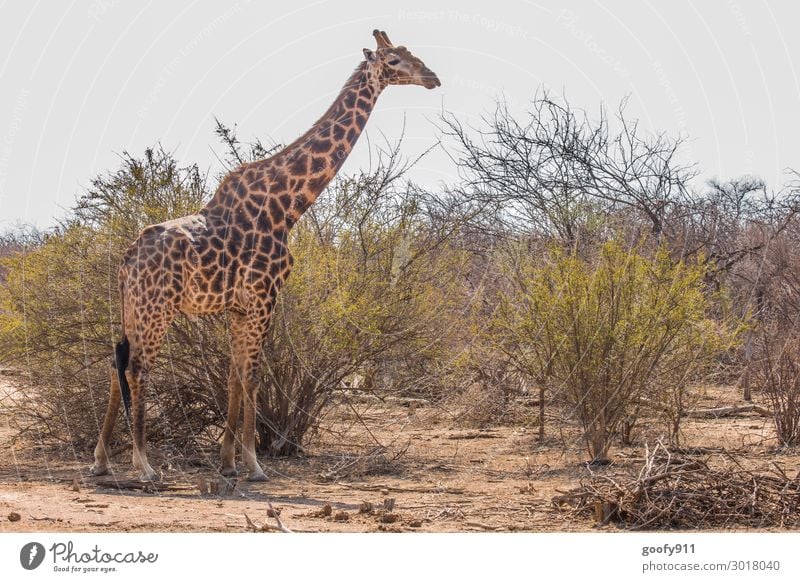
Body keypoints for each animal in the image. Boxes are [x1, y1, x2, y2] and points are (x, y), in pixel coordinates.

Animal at [90, 28, 440, 484]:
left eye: (411, 53)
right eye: (394, 60)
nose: (433, 77)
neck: (288, 206)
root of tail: (127, 258)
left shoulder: (239, 307)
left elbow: (235, 377)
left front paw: (227, 463)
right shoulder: (263, 297)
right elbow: (253, 376)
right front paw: (254, 465)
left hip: (131, 308)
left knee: (116, 363)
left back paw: (101, 459)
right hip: (157, 308)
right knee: (137, 368)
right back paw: (144, 465)